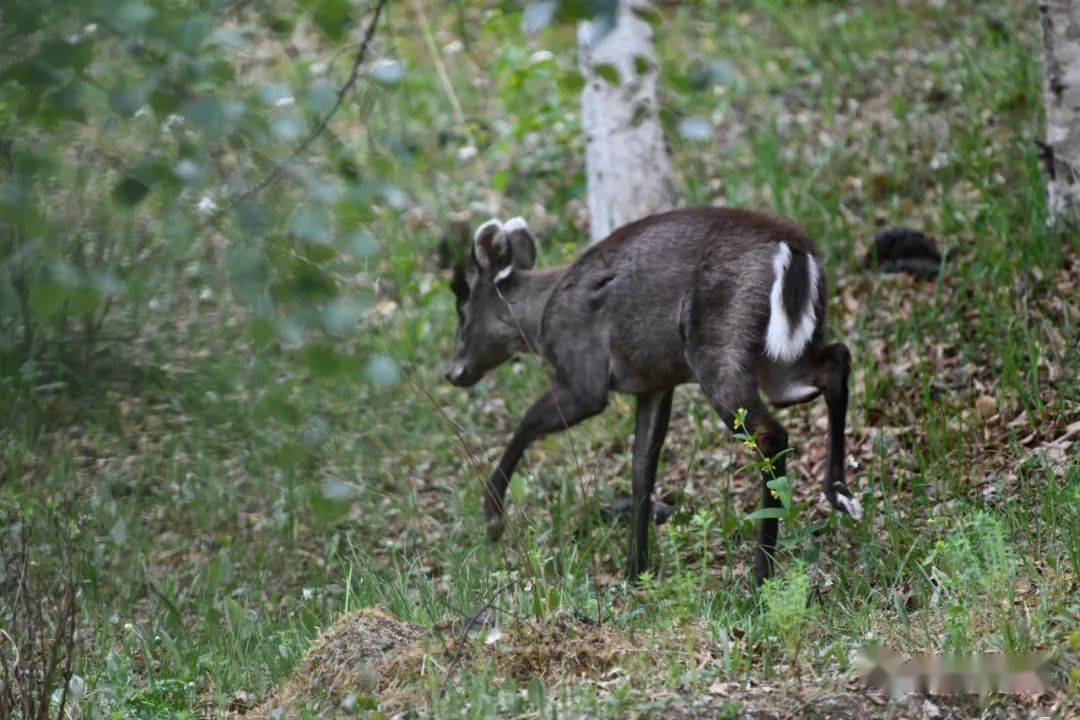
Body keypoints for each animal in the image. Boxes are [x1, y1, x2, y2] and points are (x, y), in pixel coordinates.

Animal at [442, 208, 855, 587]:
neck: (541, 318)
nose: (452, 372)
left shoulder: (584, 377)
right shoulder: (654, 383)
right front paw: (635, 570)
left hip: (718, 347)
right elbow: (642, 469)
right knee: (836, 360)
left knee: (771, 434)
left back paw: (760, 576)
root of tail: (795, 248)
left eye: (463, 307)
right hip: (778, 362)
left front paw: (493, 517)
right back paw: (839, 493)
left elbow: (527, 422)